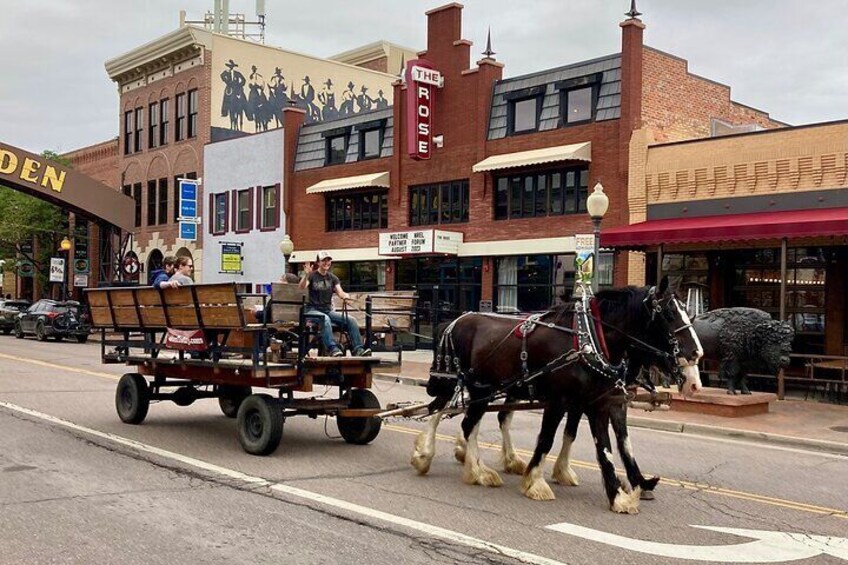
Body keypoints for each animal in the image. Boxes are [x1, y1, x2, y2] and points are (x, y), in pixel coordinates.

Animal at [410, 276, 704, 512]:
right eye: (669, 314)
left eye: (689, 313)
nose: (696, 356)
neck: (592, 340)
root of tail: (455, 320)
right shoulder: (560, 401)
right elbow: (547, 440)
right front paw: (535, 482)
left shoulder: (601, 402)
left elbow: (609, 446)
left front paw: (624, 490)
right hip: (472, 385)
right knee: (449, 414)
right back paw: (453, 463)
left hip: (492, 389)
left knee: (471, 418)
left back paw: (481, 464)